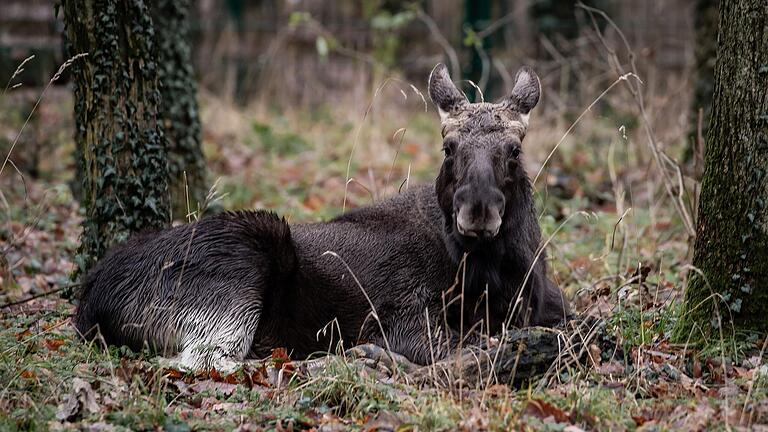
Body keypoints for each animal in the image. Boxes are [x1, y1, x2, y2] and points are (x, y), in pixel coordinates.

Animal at [75, 64, 568, 372]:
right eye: (448, 148)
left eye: (515, 149)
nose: (477, 210)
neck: (498, 277)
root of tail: (88, 299)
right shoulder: (404, 315)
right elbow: (469, 346)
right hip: (241, 262)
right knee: (208, 361)